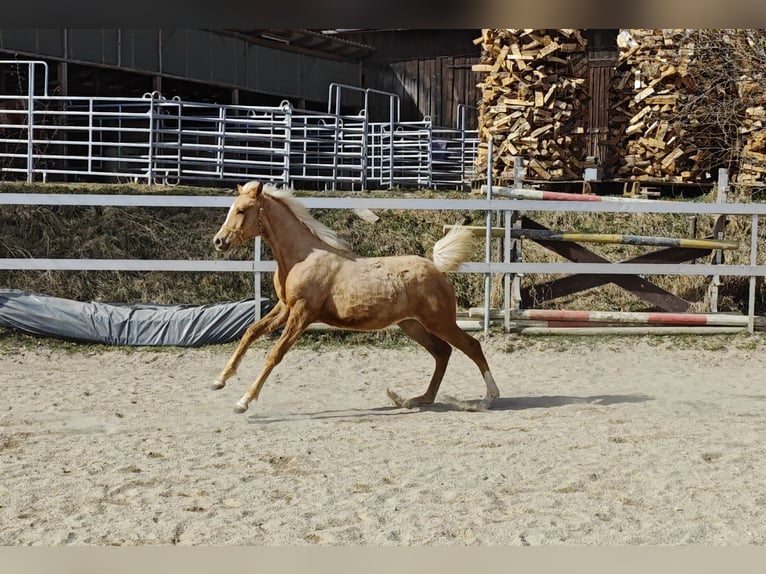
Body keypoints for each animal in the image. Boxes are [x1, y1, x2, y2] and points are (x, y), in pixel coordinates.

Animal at [210, 182, 500, 416]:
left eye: (241, 210)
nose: (219, 241)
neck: (302, 257)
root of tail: (437, 269)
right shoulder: (285, 308)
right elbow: (250, 332)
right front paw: (219, 380)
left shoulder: (302, 313)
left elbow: (274, 355)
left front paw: (243, 401)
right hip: (412, 325)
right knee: (442, 353)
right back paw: (412, 399)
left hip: (439, 322)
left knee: (471, 346)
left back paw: (487, 399)